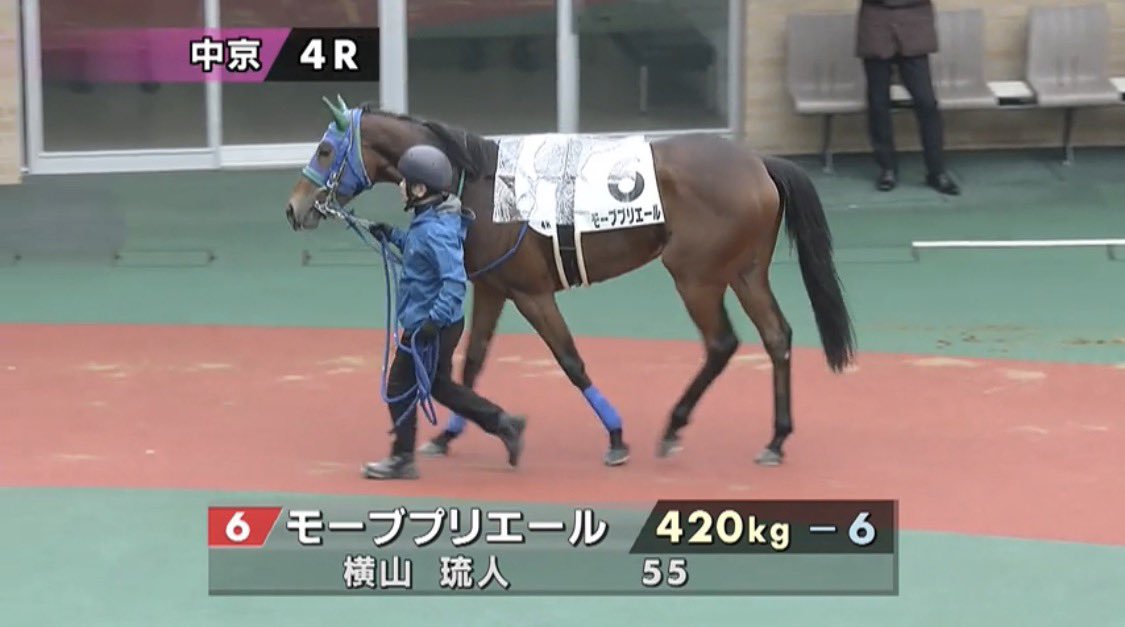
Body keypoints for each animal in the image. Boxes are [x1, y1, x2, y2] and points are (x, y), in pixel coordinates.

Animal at [284, 95, 856, 468]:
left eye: (324, 152)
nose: (294, 208)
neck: (479, 186)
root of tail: (759, 161)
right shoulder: (493, 287)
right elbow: (471, 363)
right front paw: (449, 436)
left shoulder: (532, 293)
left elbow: (570, 361)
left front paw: (616, 435)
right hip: (744, 272)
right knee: (777, 337)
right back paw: (776, 439)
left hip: (695, 276)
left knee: (721, 343)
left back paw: (675, 426)